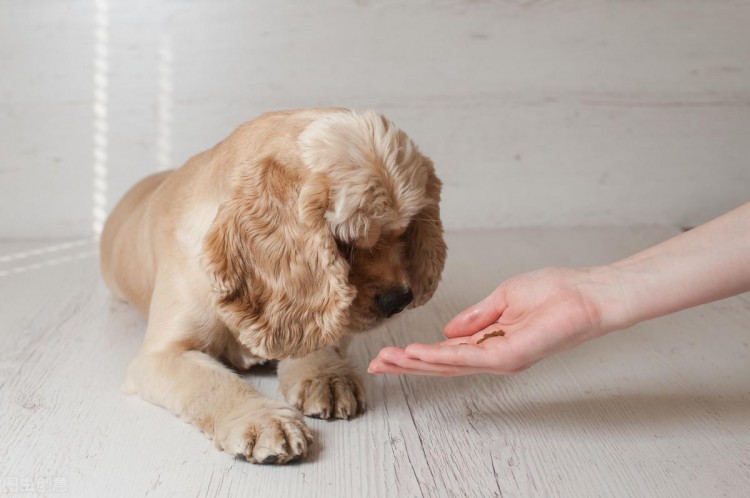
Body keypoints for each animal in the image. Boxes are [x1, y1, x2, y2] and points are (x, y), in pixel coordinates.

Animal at [103, 108, 450, 462]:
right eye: (344, 244)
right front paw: (262, 420)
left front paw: (326, 376)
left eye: (403, 231)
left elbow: (314, 332)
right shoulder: (161, 355)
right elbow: (210, 381)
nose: (399, 300)